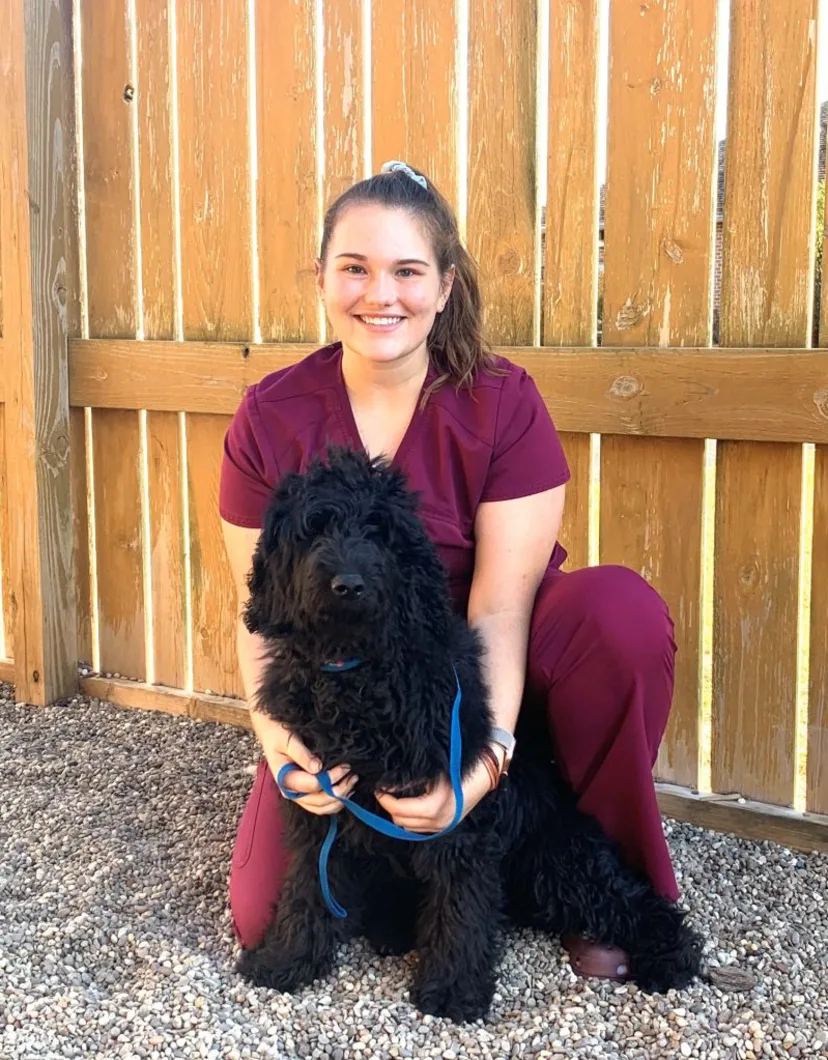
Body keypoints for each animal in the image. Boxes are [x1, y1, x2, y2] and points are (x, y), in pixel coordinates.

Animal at [235, 447, 699, 1017]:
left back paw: (670, 954)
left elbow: (460, 902)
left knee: (633, 899)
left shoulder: (457, 815)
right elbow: (306, 885)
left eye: (378, 530)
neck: (359, 673)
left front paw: (453, 988)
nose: (349, 584)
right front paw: (287, 958)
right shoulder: (316, 799)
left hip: (557, 863)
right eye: (314, 528)